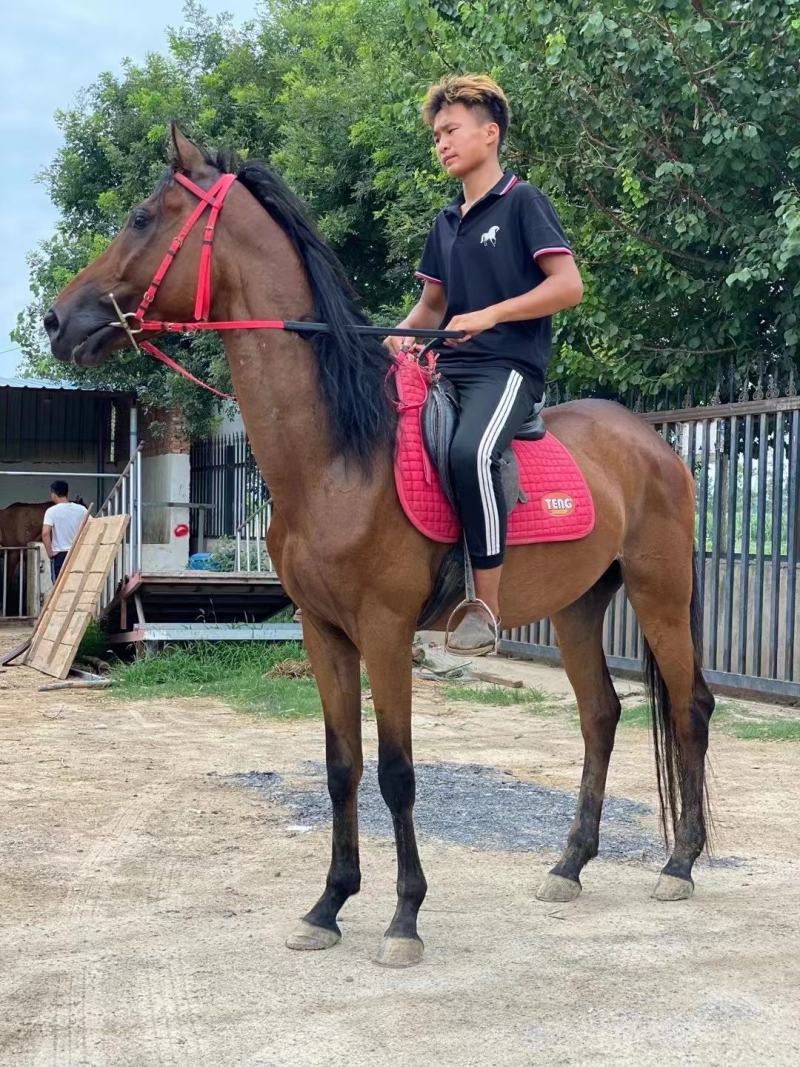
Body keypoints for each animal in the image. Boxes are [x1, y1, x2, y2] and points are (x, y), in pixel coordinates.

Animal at [43, 126, 715, 968]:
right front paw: (328, 904)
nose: (56, 320)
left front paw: (404, 917)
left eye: (140, 217)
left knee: (689, 707)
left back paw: (681, 863)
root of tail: (656, 446)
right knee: (600, 715)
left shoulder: (387, 629)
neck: (337, 452)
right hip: (579, 607)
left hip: (661, 594)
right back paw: (569, 864)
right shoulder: (323, 630)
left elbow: (396, 771)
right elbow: (342, 767)